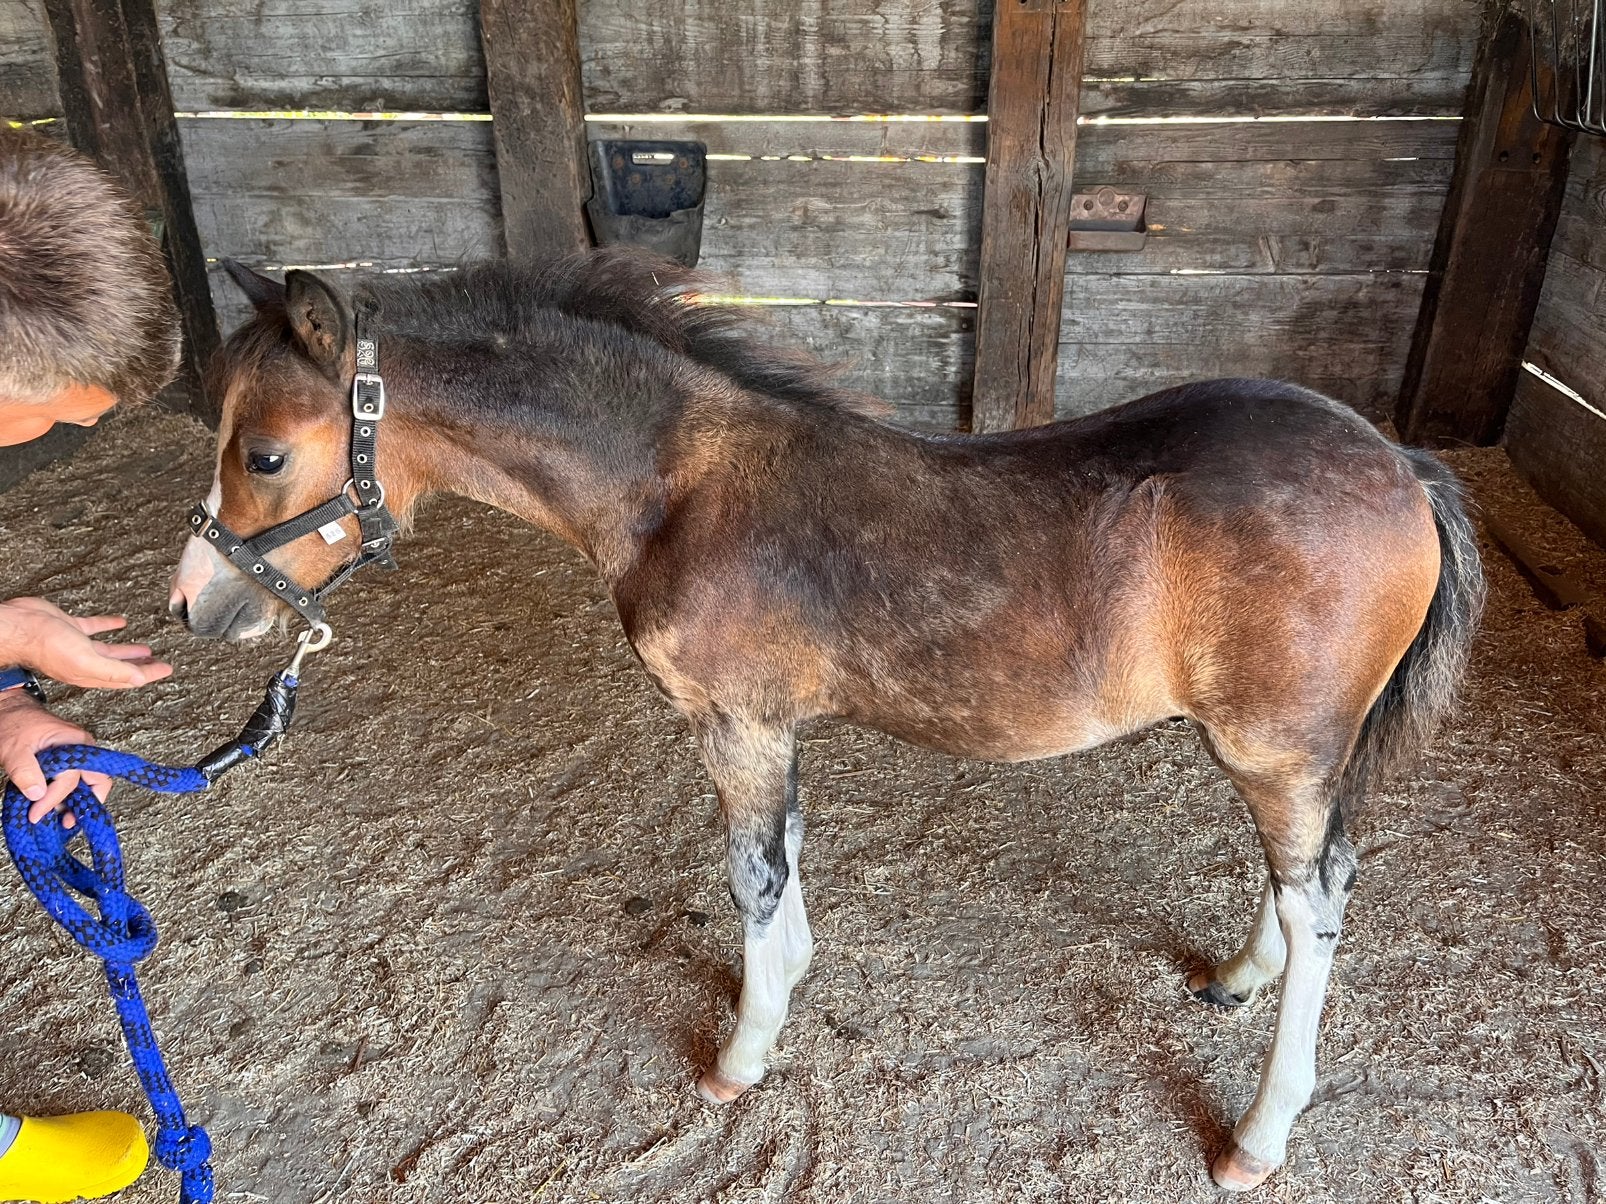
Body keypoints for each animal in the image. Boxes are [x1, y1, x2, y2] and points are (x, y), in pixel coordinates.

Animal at [169, 249, 1484, 1192]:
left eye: (268, 453)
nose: (195, 604)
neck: (675, 488)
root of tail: (1403, 466)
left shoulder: (735, 720)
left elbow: (752, 872)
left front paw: (741, 1054)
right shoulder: (768, 725)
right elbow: (787, 855)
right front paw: (789, 983)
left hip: (1275, 749)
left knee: (1319, 901)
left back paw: (1258, 1134)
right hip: (1292, 756)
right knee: (1309, 880)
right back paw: (1237, 978)